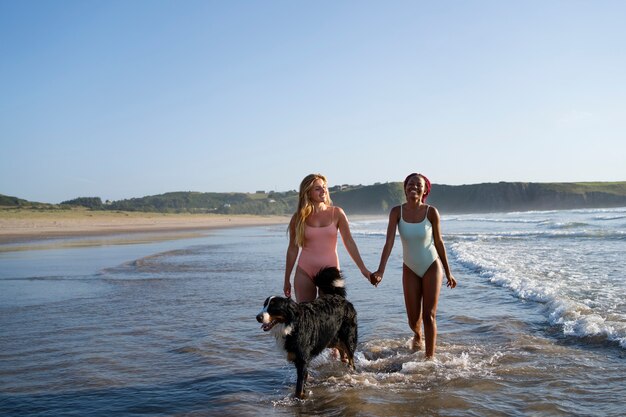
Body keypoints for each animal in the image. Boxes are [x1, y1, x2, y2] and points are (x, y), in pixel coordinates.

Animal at [255, 264, 356, 398]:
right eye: (264, 305)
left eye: (273, 307)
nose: (258, 317)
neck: (290, 325)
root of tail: (338, 297)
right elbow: (303, 378)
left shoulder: (302, 359)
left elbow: (299, 386)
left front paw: (299, 398)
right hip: (328, 337)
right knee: (341, 348)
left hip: (348, 336)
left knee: (350, 355)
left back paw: (351, 369)